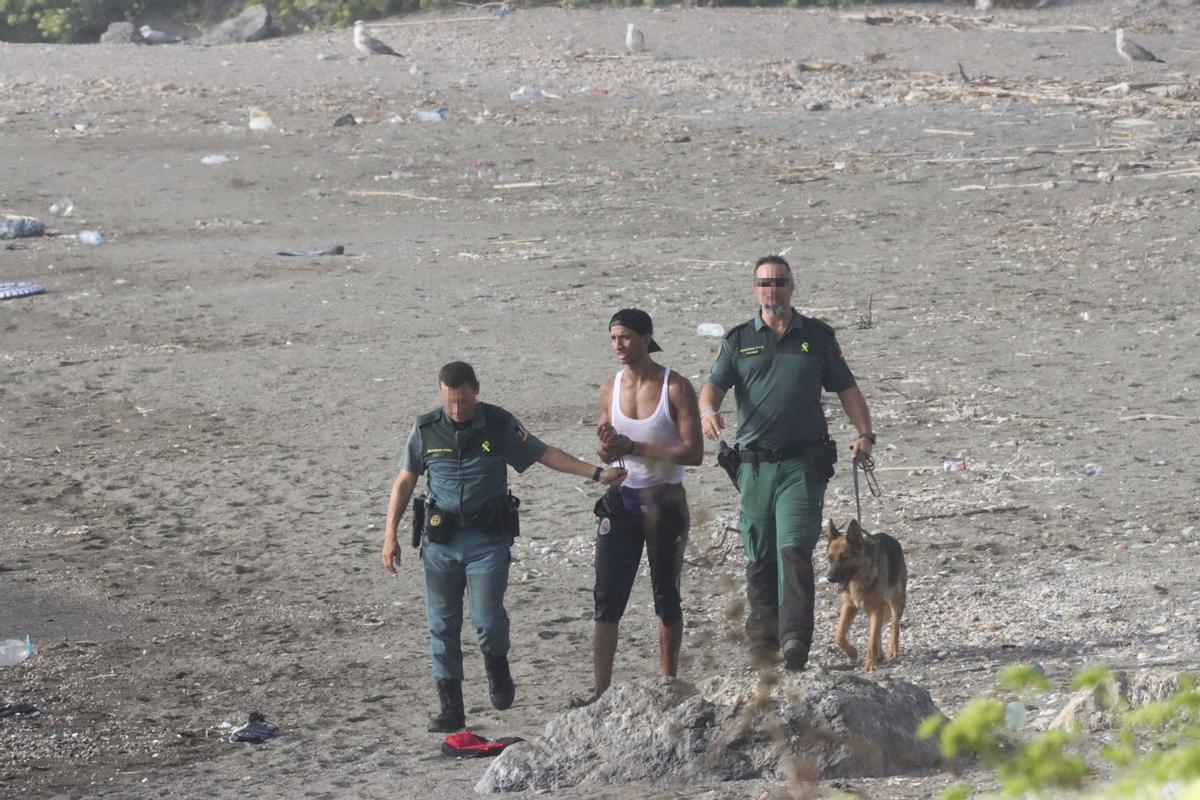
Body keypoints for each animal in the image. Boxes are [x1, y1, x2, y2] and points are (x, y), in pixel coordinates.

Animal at [825, 520, 907, 671]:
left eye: (844, 558)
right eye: (830, 558)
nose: (829, 578)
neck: (861, 577)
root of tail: (889, 537)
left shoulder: (877, 607)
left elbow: (872, 640)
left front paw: (869, 663)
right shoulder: (849, 606)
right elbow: (839, 636)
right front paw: (852, 653)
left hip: (897, 601)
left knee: (894, 625)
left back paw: (892, 649)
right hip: (872, 610)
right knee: (878, 629)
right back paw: (879, 654)